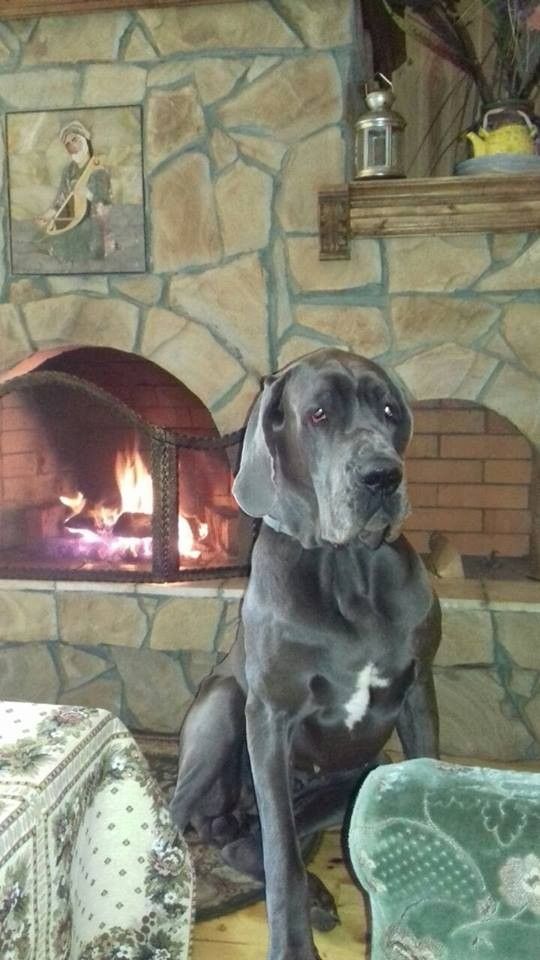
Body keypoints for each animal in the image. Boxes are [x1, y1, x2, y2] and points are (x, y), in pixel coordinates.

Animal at [170, 348, 440, 960]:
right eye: (318, 415)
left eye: (389, 411)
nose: (382, 475)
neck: (348, 569)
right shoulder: (269, 715)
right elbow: (283, 854)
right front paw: (292, 944)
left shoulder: (419, 688)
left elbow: (425, 776)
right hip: (223, 706)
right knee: (186, 815)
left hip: (358, 774)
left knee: (240, 839)